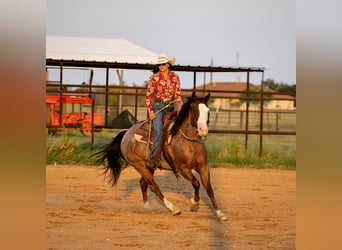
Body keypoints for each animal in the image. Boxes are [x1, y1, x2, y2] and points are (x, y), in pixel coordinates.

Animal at [96, 92, 228, 221]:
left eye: (208, 111)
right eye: (195, 110)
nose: (203, 131)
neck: (189, 142)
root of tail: (126, 133)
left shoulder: (203, 166)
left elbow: (209, 188)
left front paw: (219, 213)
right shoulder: (182, 168)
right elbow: (196, 183)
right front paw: (194, 203)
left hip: (149, 166)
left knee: (143, 183)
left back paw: (147, 206)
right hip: (139, 165)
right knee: (154, 187)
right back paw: (173, 208)